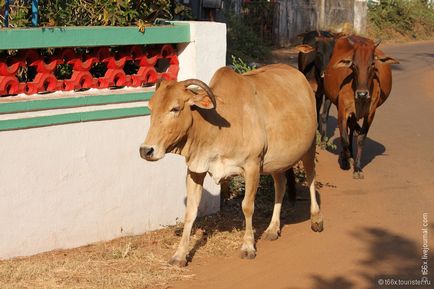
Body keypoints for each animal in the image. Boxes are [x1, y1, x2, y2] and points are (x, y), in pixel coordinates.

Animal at [139, 63, 322, 266]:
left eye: (175, 108)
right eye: (150, 108)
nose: (146, 150)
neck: (214, 128)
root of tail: (299, 75)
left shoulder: (252, 166)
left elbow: (247, 206)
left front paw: (248, 246)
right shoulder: (196, 169)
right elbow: (190, 212)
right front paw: (179, 255)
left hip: (309, 145)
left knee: (311, 177)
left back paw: (316, 218)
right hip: (275, 161)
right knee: (280, 185)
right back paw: (273, 228)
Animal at [324, 35, 398, 179]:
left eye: (372, 64)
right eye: (354, 65)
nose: (362, 93)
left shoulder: (370, 113)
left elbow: (361, 139)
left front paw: (357, 167)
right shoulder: (342, 111)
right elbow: (344, 139)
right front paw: (345, 159)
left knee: (353, 128)